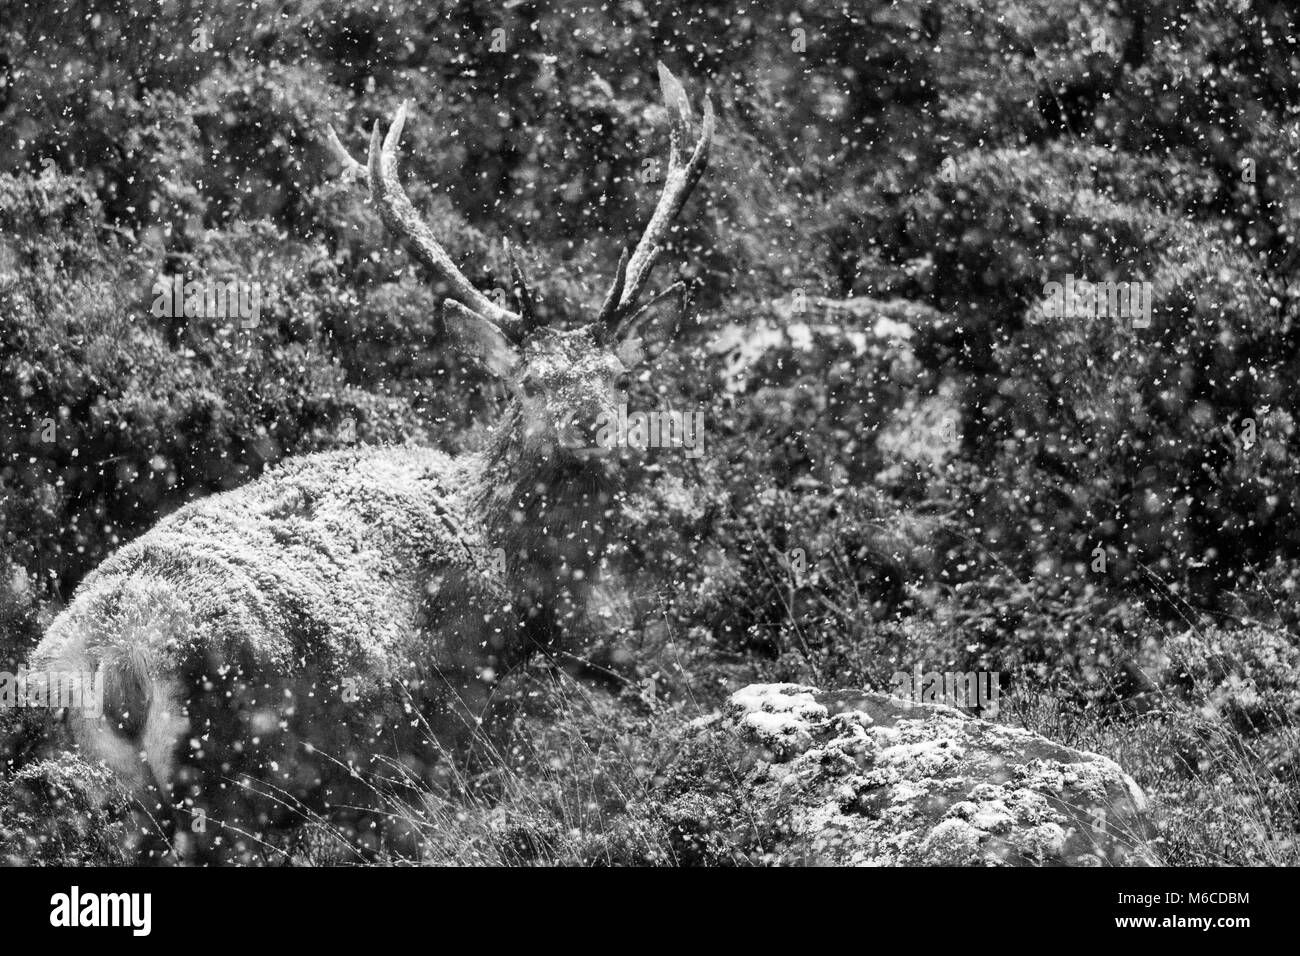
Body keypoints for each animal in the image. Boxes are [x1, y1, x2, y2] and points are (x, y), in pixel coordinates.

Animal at [27, 64, 713, 862]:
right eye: (529, 384)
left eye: (619, 378)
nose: (594, 427)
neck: (515, 590)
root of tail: (113, 664)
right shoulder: (452, 705)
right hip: (232, 761)